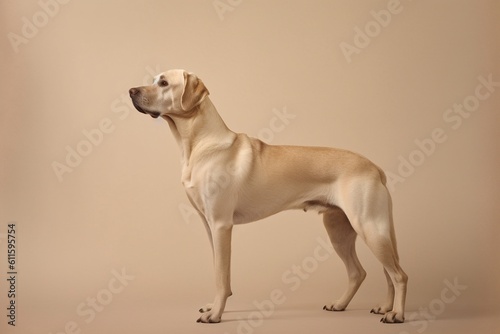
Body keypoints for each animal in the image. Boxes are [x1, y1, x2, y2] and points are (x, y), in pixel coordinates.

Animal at [128, 68, 406, 324]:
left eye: (164, 83)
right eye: (154, 80)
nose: (131, 91)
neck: (199, 144)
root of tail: (375, 167)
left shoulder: (221, 225)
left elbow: (221, 276)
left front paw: (215, 314)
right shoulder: (209, 226)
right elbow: (219, 270)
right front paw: (214, 306)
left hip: (369, 227)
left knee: (398, 275)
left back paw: (396, 314)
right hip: (341, 231)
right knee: (363, 272)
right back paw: (353, 305)